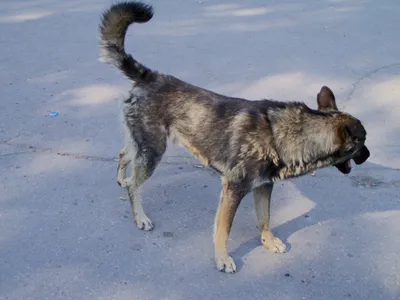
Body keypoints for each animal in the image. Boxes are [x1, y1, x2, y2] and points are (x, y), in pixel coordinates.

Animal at [98, 1, 370, 274]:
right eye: (363, 142)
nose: (368, 155)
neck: (283, 134)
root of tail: (150, 76)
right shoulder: (233, 190)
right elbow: (223, 229)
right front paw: (222, 258)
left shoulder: (263, 187)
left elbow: (265, 218)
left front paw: (268, 242)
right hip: (153, 150)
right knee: (134, 185)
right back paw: (140, 216)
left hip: (145, 144)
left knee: (124, 154)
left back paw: (121, 178)